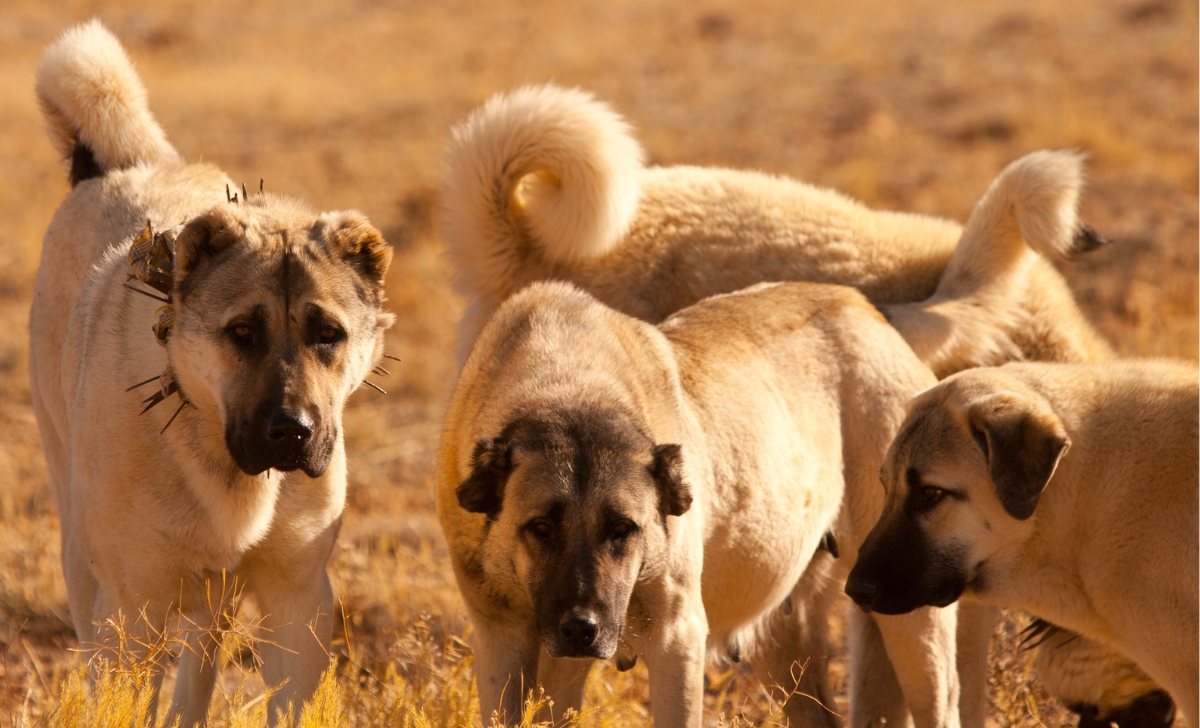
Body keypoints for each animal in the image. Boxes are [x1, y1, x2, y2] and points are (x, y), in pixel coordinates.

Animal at [439, 280, 964, 728]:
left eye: (622, 529)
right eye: (541, 528)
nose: (582, 628)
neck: (566, 387)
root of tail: (868, 308)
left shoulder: (677, 640)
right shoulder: (506, 642)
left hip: (911, 622)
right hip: (783, 636)